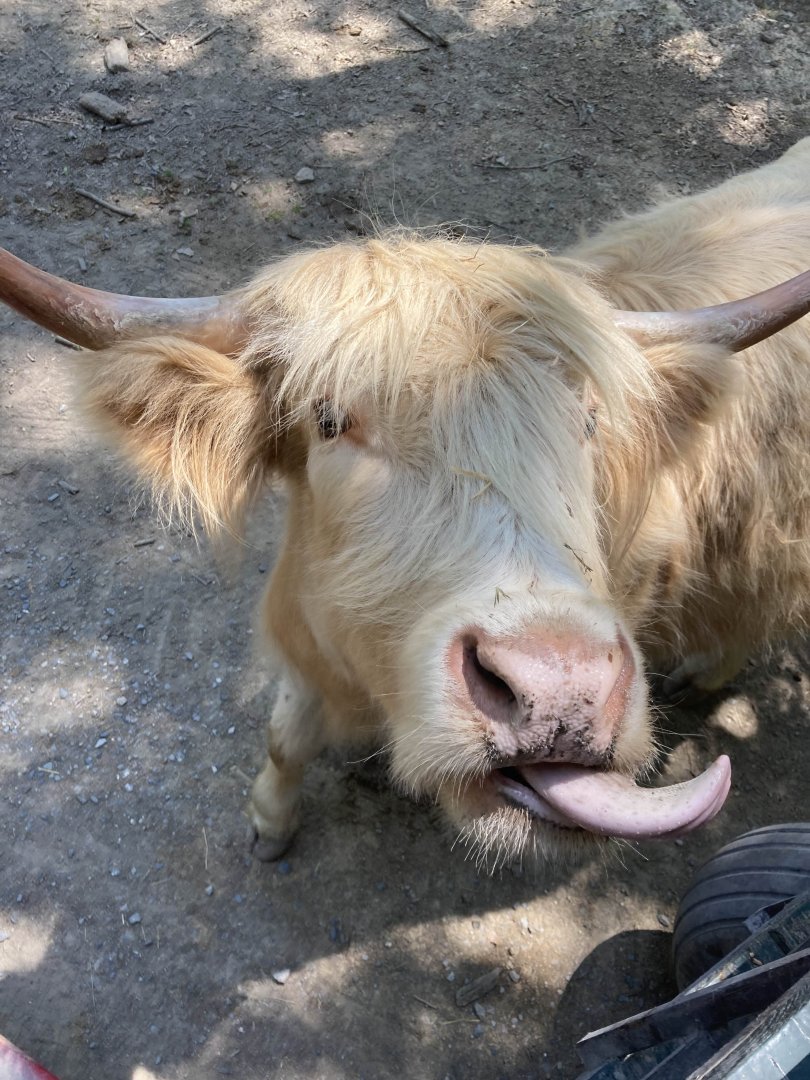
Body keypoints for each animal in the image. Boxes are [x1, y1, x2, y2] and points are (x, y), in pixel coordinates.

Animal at [2, 138, 810, 870]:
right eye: (330, 420)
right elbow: (284, 736)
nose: (561, 691)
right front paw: (268, 823)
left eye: (588, 423)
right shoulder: (307, 632)